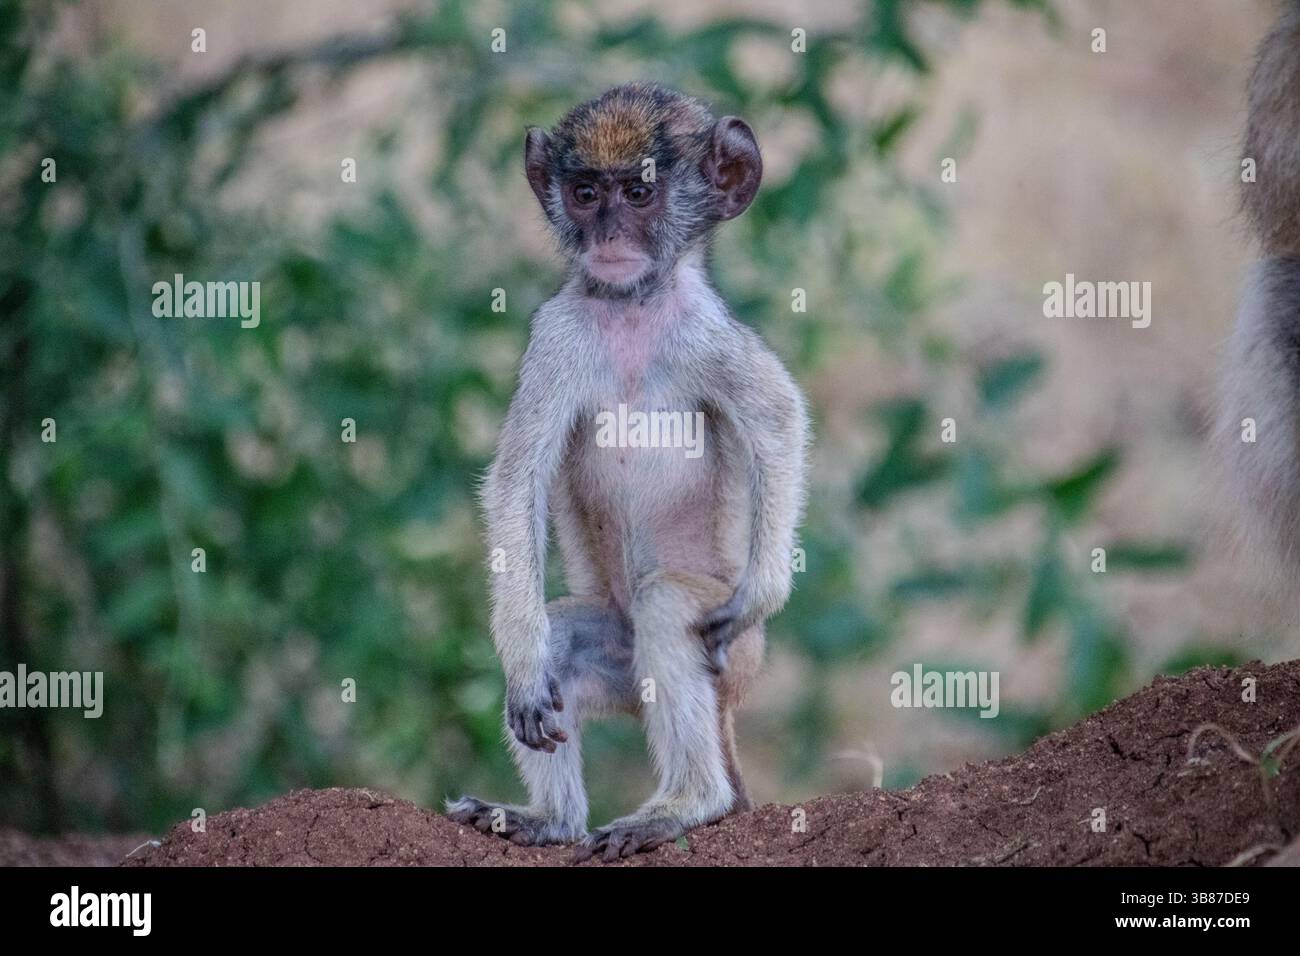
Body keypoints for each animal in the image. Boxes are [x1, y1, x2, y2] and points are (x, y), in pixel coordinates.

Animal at [446, 83, 809, 862]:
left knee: (668, 605)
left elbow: (777, 418)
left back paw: (688, 805)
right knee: (565, 643)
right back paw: (552, 821)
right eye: (585, 193)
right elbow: (516, 481)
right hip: (617, 659)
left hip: (737, 657)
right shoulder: (555, 335)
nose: (608, 238)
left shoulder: (705, 330)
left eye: (639, 193)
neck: (632, 306)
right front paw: (525, 671)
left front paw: (762, 590)